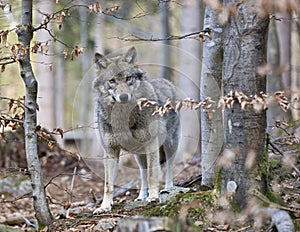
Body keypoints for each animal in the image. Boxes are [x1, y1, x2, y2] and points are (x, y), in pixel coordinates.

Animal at [92, 47, 179, 214]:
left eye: (128, 78)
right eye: (112, 81)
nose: (124, 97)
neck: (124, 116)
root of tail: (167, 82)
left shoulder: (152, 144)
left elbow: (153, 174)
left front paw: (154, 197)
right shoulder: (110, 150)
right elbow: (108, 185)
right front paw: (104, 206)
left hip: (170, 144)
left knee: (169, 168)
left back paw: (168, 189)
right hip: (139, 155)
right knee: (142, 173)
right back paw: (141, 197)